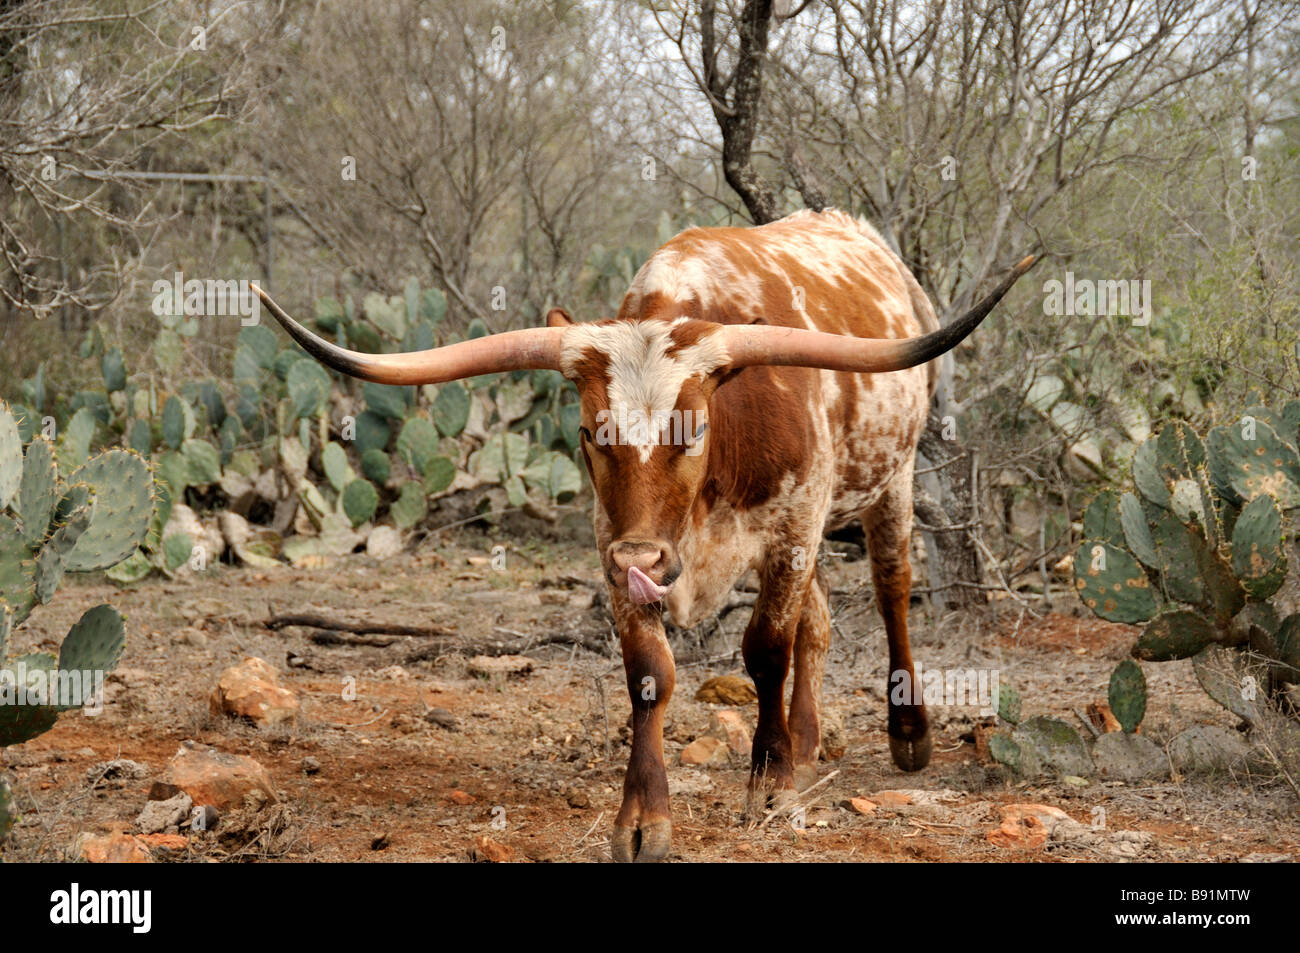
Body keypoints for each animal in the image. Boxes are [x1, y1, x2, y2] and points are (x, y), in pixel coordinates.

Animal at [248, 210, 1029, 863]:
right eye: (591, 432)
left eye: (697, 429)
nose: (645, 555)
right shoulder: (613, 547)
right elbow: (652, 673)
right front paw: (644, 819)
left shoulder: (793, 523)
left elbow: (765, 650)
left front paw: (769, 784)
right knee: (820, 620)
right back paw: (807, 745)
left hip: (890, 480)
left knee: (890, 589)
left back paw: (904, 733)